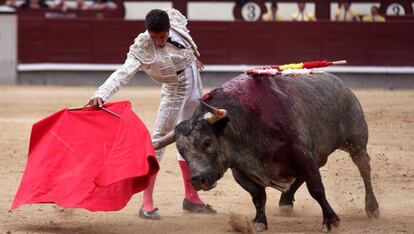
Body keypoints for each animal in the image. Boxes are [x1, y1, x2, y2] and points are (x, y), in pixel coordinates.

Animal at [154, 73, 380, 232]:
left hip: (356, 141)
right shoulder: (241, 170)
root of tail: (341, 84)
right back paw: (286, 201)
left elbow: (316, 188)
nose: (198, 180)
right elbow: (258, 196)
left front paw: (331, 221)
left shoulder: (303, 153)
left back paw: (372, 208)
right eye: (182, 151)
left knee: (364, 168)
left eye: (207, 142)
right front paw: (259, 222)